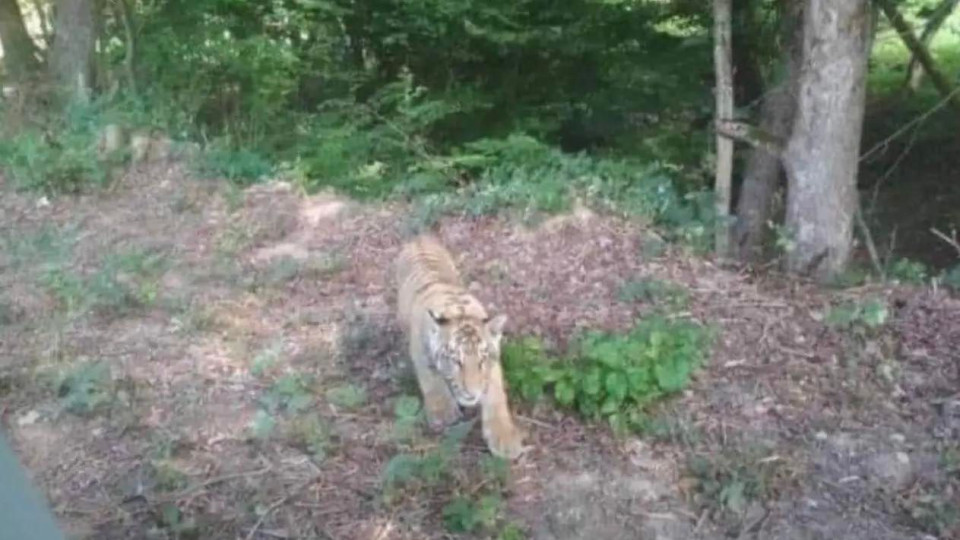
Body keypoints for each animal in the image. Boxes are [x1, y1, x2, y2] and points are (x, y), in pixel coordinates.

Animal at [396, 234, 528, 458]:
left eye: (482, 360)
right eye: (456, 361)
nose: (471, 394)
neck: (458, 311)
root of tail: (418, 237)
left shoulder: (493, 365)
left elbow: (495, 396)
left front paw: (504, 438)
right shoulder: (420, 351)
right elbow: (430, 379)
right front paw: (443, 412)